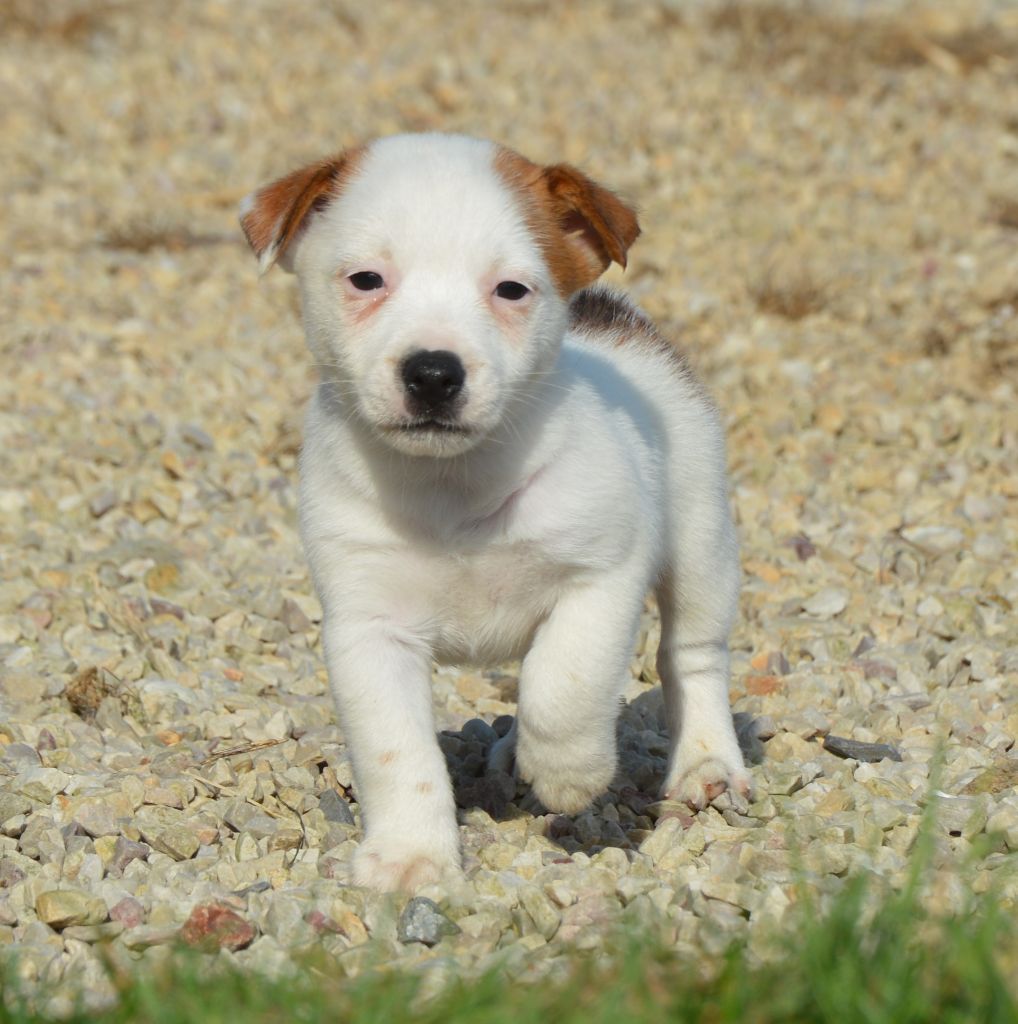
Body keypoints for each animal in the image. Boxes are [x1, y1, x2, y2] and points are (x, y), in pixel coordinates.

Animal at [236, 134, 745, 888]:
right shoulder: (369, 630)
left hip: (701, 542)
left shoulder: (600, 577)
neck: (455, 484)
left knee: (692, 657)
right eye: (366, 279)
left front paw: (569, 772)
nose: (433, 373)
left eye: (511, 290)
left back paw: (707, 761)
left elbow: (565, 683)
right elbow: (399, 753)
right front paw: (413, 855)